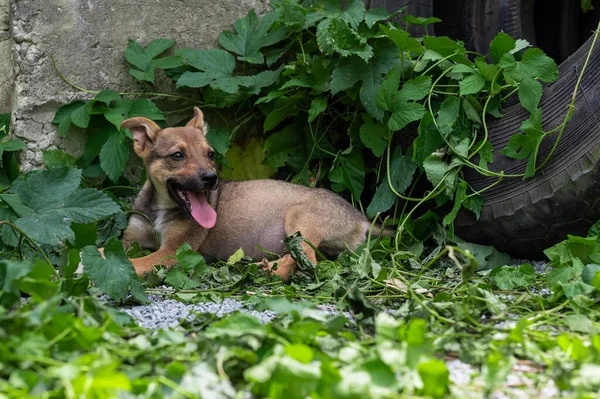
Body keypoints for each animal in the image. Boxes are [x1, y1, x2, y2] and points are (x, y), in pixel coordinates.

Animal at [121, 108, 382, 280]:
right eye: (177, 155)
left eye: (210, 154)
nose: (211, 178)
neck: (159, 210)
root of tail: (362, 220)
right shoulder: (130, 239)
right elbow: (116, 251)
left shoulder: (174, 252)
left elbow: (134, 263)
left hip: (301, 220)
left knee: (307, 258)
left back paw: (270, 269)